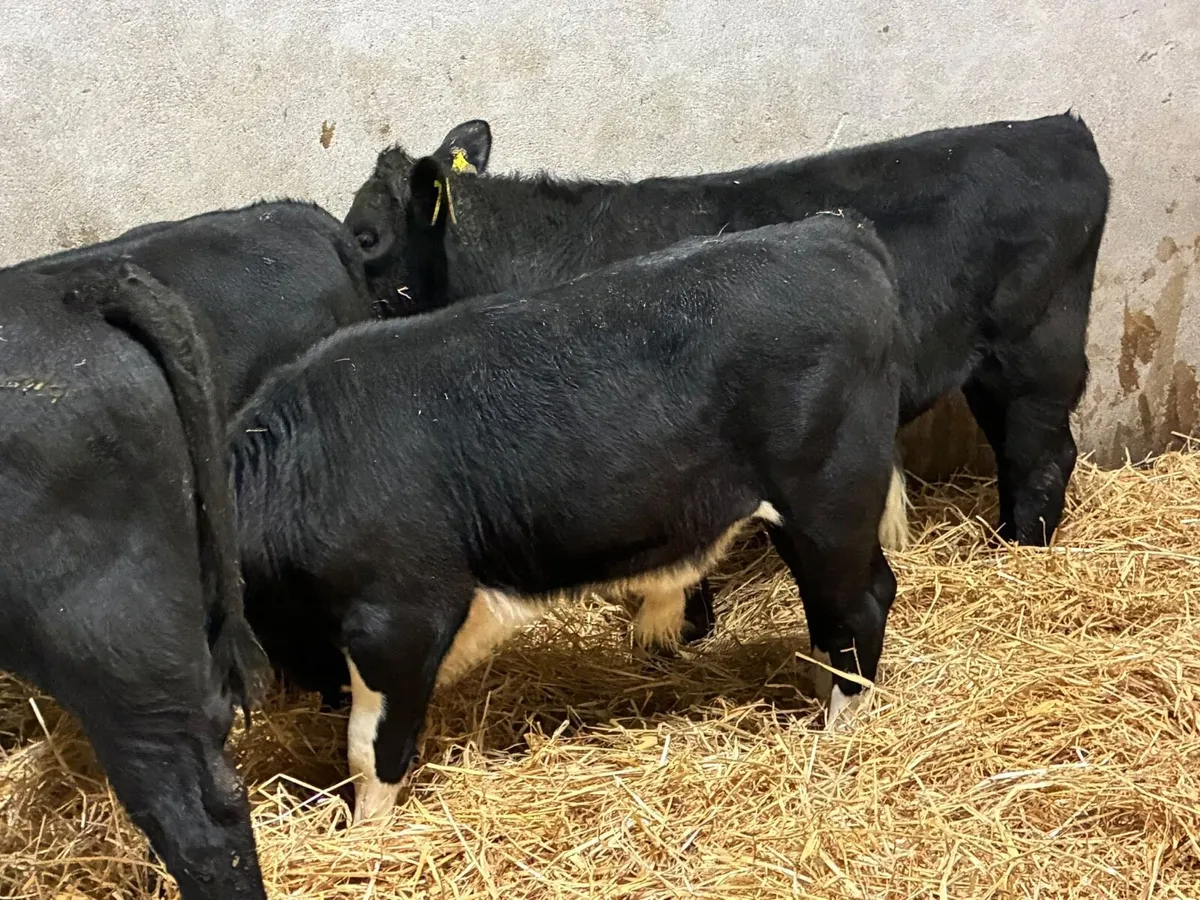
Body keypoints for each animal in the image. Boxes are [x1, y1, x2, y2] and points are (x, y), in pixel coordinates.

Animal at [229, 213, 904, 824]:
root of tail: (833, 233)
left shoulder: (399, 618)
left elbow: (370, 750)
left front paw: (367, 834)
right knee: (827, 611)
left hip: (830, 497)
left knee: (862, 601)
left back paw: (840, 730)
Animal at [344, 112, 1109, 648]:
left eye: (363, 236)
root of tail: (1061, 130)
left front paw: (681, 633)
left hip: (1036, 350)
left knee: (1044, 452)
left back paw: (1022, 548)